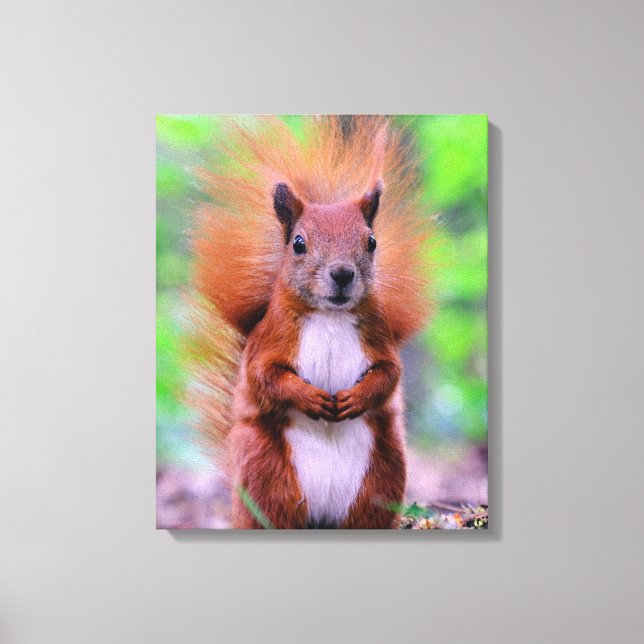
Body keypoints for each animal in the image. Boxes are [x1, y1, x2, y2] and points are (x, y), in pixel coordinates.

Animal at [190, 116, 431, 528]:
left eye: (371, 242)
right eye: (298, 244)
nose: (342, 274)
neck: (329, 316)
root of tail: (323, 515)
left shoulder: (378, 336)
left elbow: (389, 373)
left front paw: (354, 398)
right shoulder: (270, 339)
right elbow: (265, 376)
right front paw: (310, 398)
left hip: (380, 480)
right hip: (268, 477)